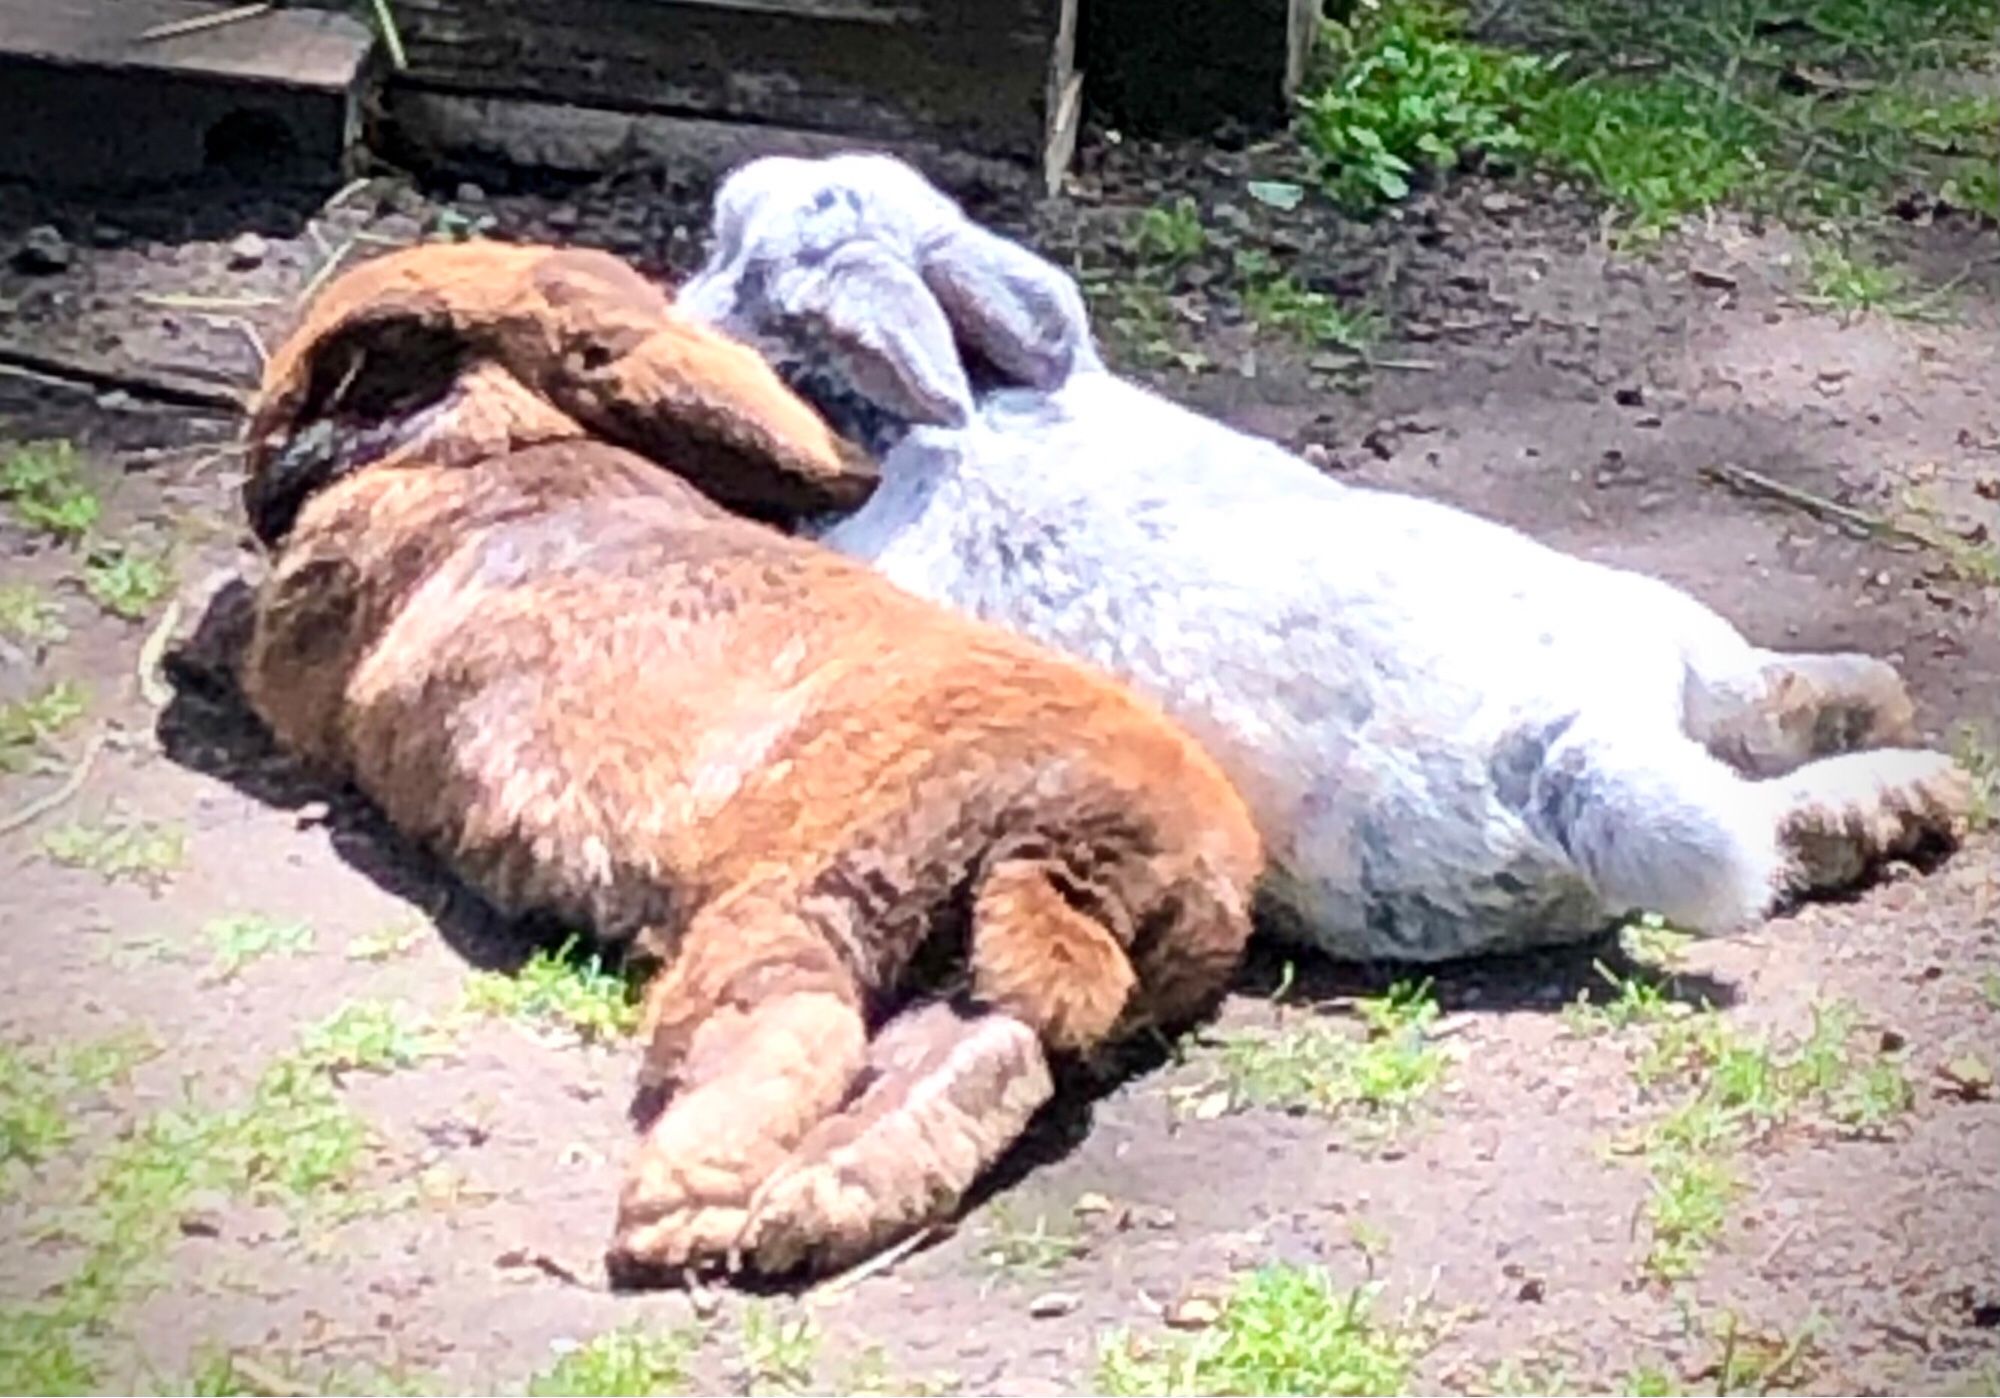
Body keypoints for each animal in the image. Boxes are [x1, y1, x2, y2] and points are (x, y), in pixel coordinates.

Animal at [234, 246, 1256, 1288]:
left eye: (349, 370)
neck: (495, 443)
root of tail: (1111, 846)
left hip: (816, 889)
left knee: (796, 1021)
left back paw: (685, 1209)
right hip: (945, 942)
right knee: (985, 1046)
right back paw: (819, 1202)